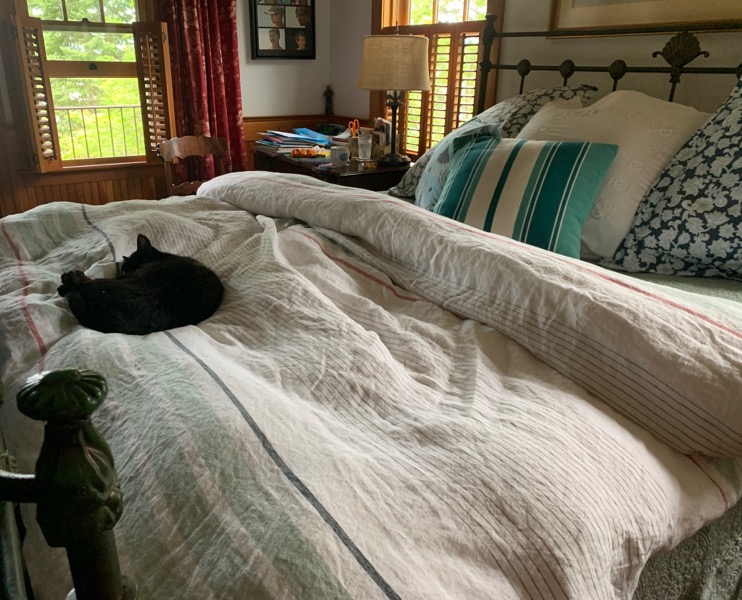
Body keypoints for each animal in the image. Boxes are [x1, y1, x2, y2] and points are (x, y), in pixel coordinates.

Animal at [58, 234, 224, 335]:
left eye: (140, 264)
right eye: (123, 269)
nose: (124, 274)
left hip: (103, 284)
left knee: (81, 284)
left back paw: (68, 278)